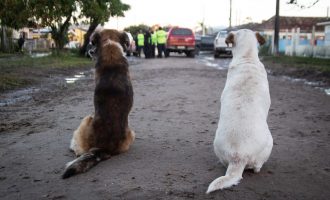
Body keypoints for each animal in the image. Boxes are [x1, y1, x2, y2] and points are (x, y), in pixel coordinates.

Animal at [62, 29, 134, 178]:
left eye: (93, 43)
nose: (89, 52)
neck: (110, 45)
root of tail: (102, 148)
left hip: (85, 119)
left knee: (78, 150)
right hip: (131, 134)